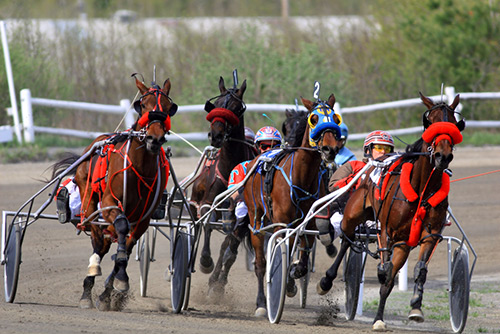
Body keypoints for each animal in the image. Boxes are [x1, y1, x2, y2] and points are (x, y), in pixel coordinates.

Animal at [51, 74, 177, 310]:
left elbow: (126, 247)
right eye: (142, 105)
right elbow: (120, 227)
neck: (141, 168)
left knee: (107, 241)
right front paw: (111, 281)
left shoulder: (143, 219)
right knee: (97, 239)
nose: (154, 139)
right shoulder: (110, 204)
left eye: (168, 108)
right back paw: (88, 284)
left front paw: (111, 289)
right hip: (89, 200)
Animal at [189, 75, 256, 274]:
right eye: (217, 104)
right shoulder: (207, 201)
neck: (230, 170)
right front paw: (205, 260)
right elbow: (207, 221)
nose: (216, 135)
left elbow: (231, 241)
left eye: (236, 108)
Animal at [243, 93, 344, 316]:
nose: (330, 149)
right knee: (260, 263)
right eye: (314, 119)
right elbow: (284, 253)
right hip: (256, 221)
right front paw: (284, 284)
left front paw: (294, 275)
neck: (301, 178)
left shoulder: (309, 223)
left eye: (335, 118)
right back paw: (261, 303)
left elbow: (303, 259)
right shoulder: (283, 223)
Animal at [316, 92, 464, 330]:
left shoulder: (427, 235)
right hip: (353, 213)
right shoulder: (386, 231)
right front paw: (379, 317)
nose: (443, 156)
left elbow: (418, 270)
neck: (422, 188)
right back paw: (326, 280)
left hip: (402, 243)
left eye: (453, 124)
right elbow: (385, 273)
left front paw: (414, 307)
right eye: (430, 123)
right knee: (347, 238)